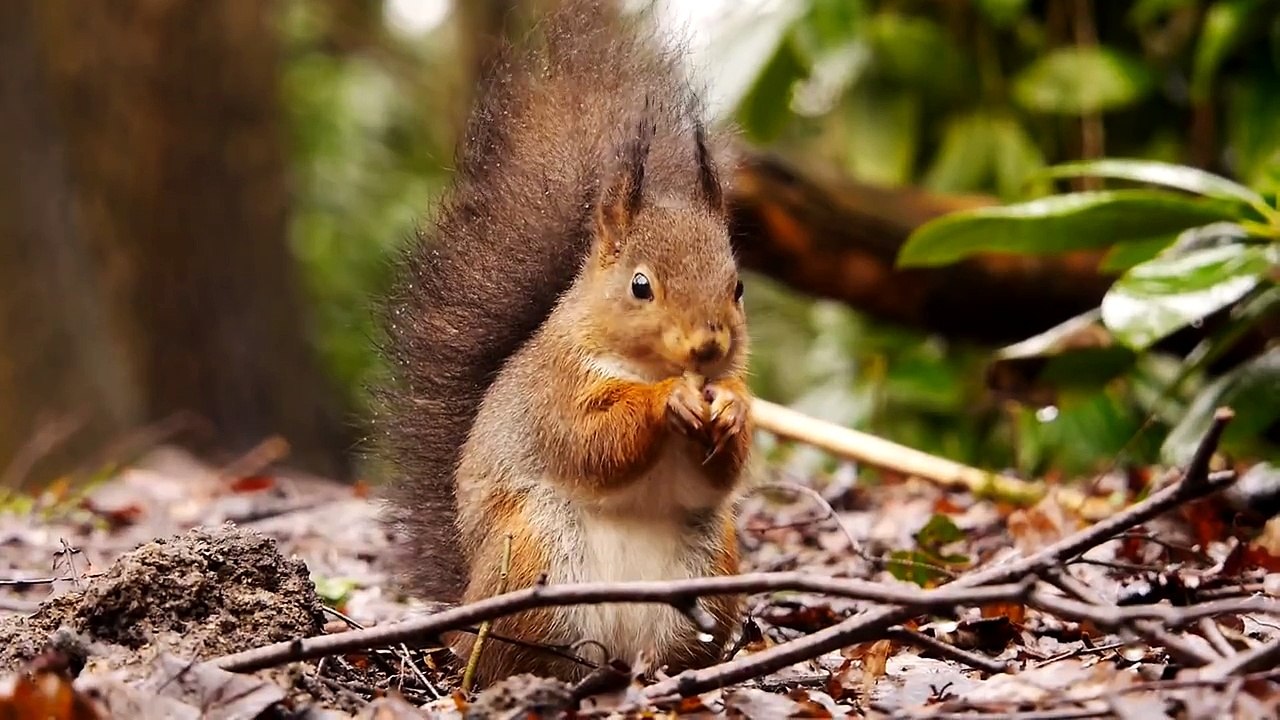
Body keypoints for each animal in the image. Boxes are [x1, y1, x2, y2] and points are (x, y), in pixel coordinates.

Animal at [375, 0, 752, 688]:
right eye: (640, 286)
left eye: (737, 287)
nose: (708, 347)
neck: (639, 363)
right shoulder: (556, 390)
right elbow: (591, 441)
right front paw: (668, 400)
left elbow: (716, 475)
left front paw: (732, 410)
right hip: (534, 557)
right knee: (509, 657)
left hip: (711, 568)